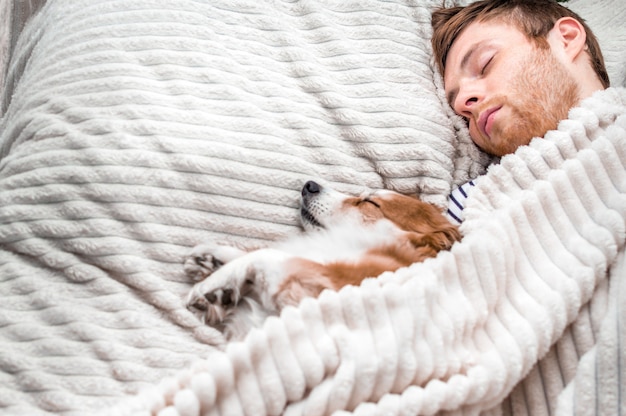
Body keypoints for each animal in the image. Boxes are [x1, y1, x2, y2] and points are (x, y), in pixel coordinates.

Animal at [183, 180, 456, 340]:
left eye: (369, 202)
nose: (309, 184)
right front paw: (212, 259)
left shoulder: (323, 289)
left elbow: (267, 254)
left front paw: (213, 286)